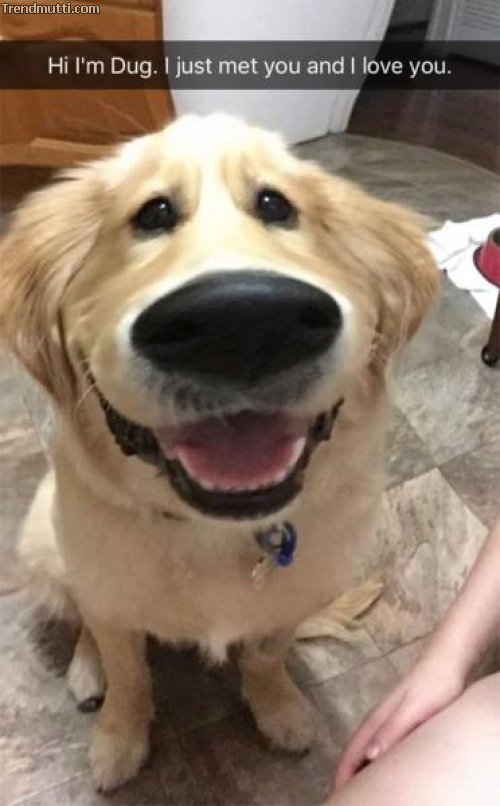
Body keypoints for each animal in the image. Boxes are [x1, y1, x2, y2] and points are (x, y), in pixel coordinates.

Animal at [0, 114, 438, 791]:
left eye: (276, 205)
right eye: (152, 213)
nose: (243, 321)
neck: (214, 532)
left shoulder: (289, 601)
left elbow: (265, 657)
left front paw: (279, 710)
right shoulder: (109, 592)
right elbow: (128, 671)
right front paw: (119, 740)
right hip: (42, 541)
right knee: (83, 620)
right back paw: (86, 669)